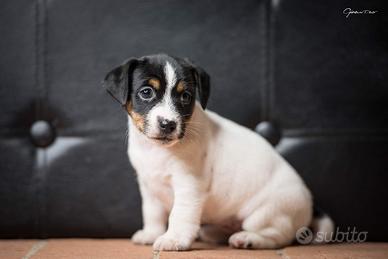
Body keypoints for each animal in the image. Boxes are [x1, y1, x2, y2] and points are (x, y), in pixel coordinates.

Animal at [103, 53, 334, 252]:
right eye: (146, 92)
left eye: (185, 96)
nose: (168, 124)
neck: (157, 150)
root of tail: (311, 205)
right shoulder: (149, 186)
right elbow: (152, 213)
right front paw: (151, 234)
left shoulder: (189, 185)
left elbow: (179, 214)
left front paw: (174, 239)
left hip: (266, 213)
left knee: (279, 237)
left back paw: (248, 239)